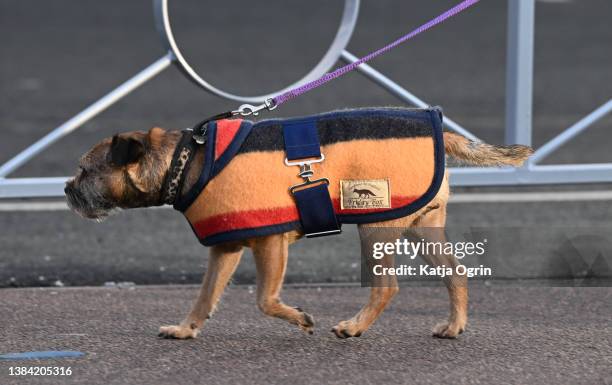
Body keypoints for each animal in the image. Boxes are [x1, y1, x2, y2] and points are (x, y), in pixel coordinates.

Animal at [64, 109, 528, 340]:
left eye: (85, 171)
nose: (67, 189)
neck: (187, 160)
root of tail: (441, 132)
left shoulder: (270, 244)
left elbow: (264, 299)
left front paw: (301, 318)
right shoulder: (225, 249)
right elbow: (205, 296)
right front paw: (186, 329)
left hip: (375, 228)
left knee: (386, 286)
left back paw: (355, 326)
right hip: (423, 228)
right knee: (457, 274)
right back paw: (454, 326)